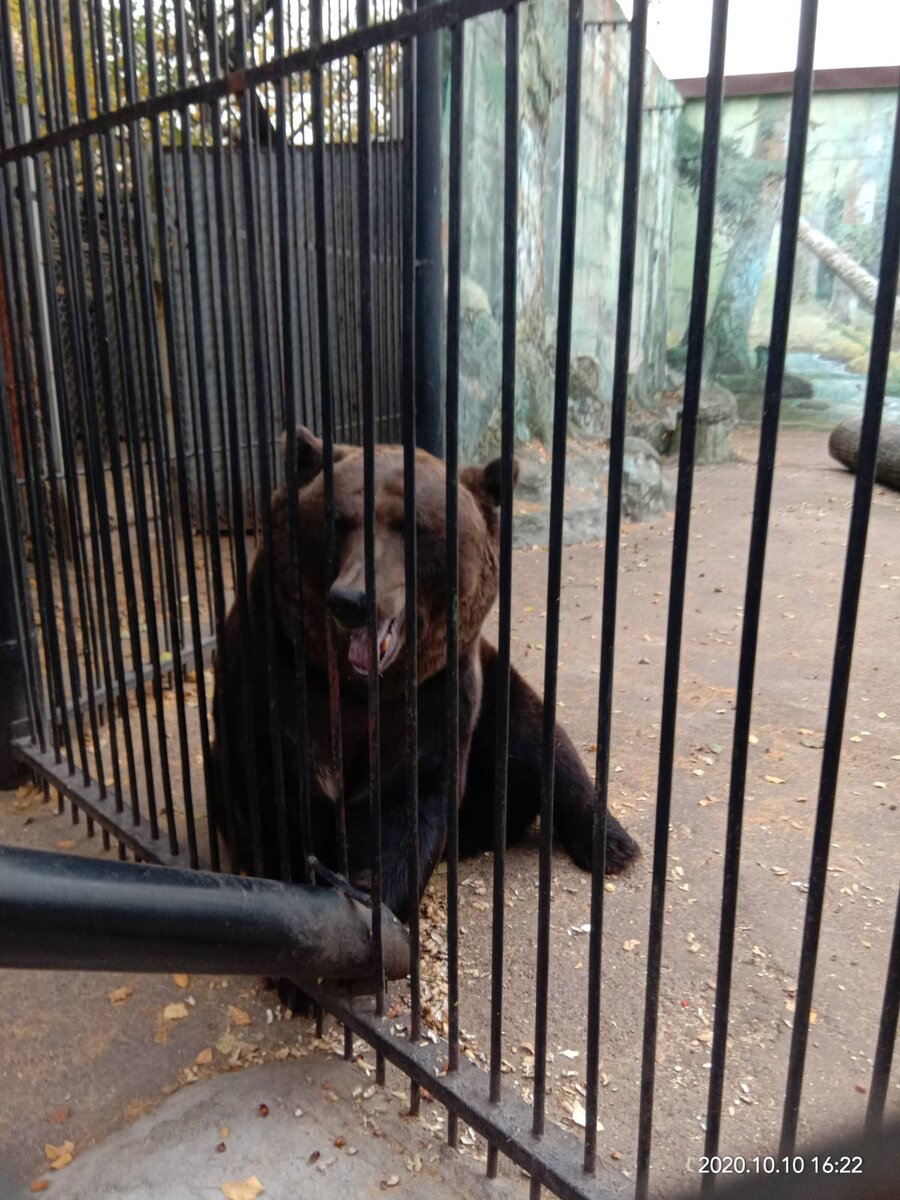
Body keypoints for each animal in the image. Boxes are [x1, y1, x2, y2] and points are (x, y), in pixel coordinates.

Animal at [210, 429, 643, 916]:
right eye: (338, 521)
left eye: (413, 528)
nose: (352, 599)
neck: (364, 689)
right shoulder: (274, 678)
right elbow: (274, 801)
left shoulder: (437, 697)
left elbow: (414, 803)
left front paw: (375, 895)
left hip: (496, 689)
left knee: (541, 740)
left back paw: (612, 844)